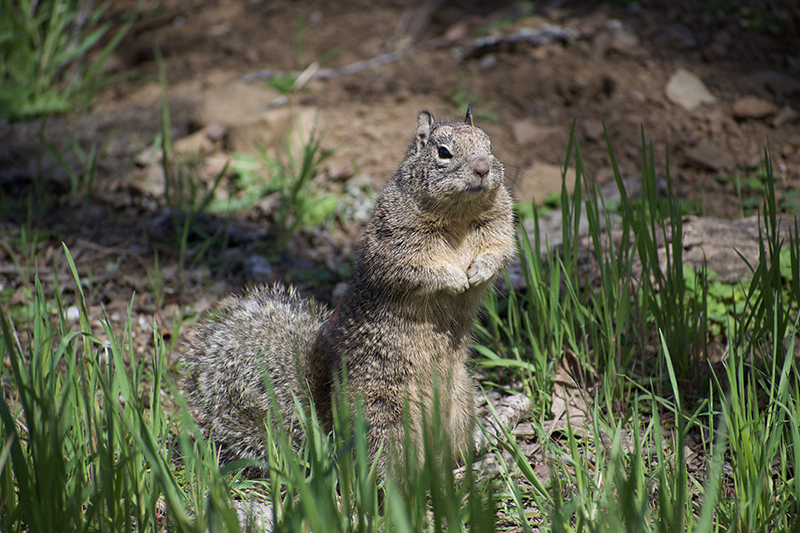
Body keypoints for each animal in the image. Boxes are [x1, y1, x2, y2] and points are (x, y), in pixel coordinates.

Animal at [183, 106, 517, 476]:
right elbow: (419, 269)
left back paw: (465, 468)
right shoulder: (395, 245)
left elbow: (499, 251)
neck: (459, 215)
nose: (483, 168)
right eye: (443, 152)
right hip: (384, 413)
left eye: (489, 143)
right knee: (382, 465)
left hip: (460, 407)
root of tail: (329, 424)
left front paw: (478, 271)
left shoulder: (499, 226)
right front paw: (455, 279)